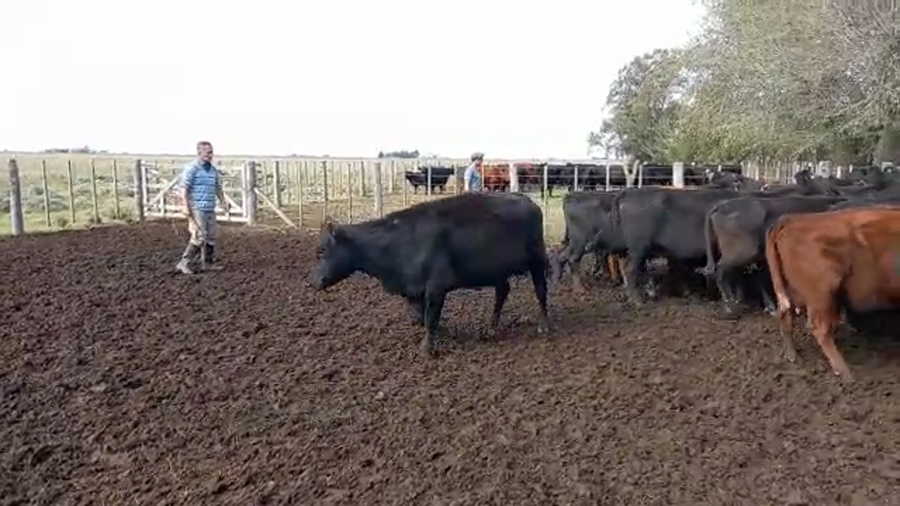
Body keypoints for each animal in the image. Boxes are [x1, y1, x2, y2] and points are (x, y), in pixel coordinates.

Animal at [312, 192, 551, 356]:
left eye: (322, 250)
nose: (316, 281)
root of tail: (527, 200)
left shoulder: (436, 287)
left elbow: (430, 317)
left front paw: (428, 348)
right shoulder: (413, 290)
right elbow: (421, 318)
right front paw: (446, 333)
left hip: (537, 260)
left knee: (541, 291)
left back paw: (543, 326)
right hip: (497, 270)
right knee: (502, 292)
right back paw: (491, 329)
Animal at [765, 206, 900, 382]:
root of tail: (793, 219)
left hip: (794, 292)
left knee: (786, 317)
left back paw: (793, 356)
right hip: (822, 295)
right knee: (819, 328)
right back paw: (845, 373)